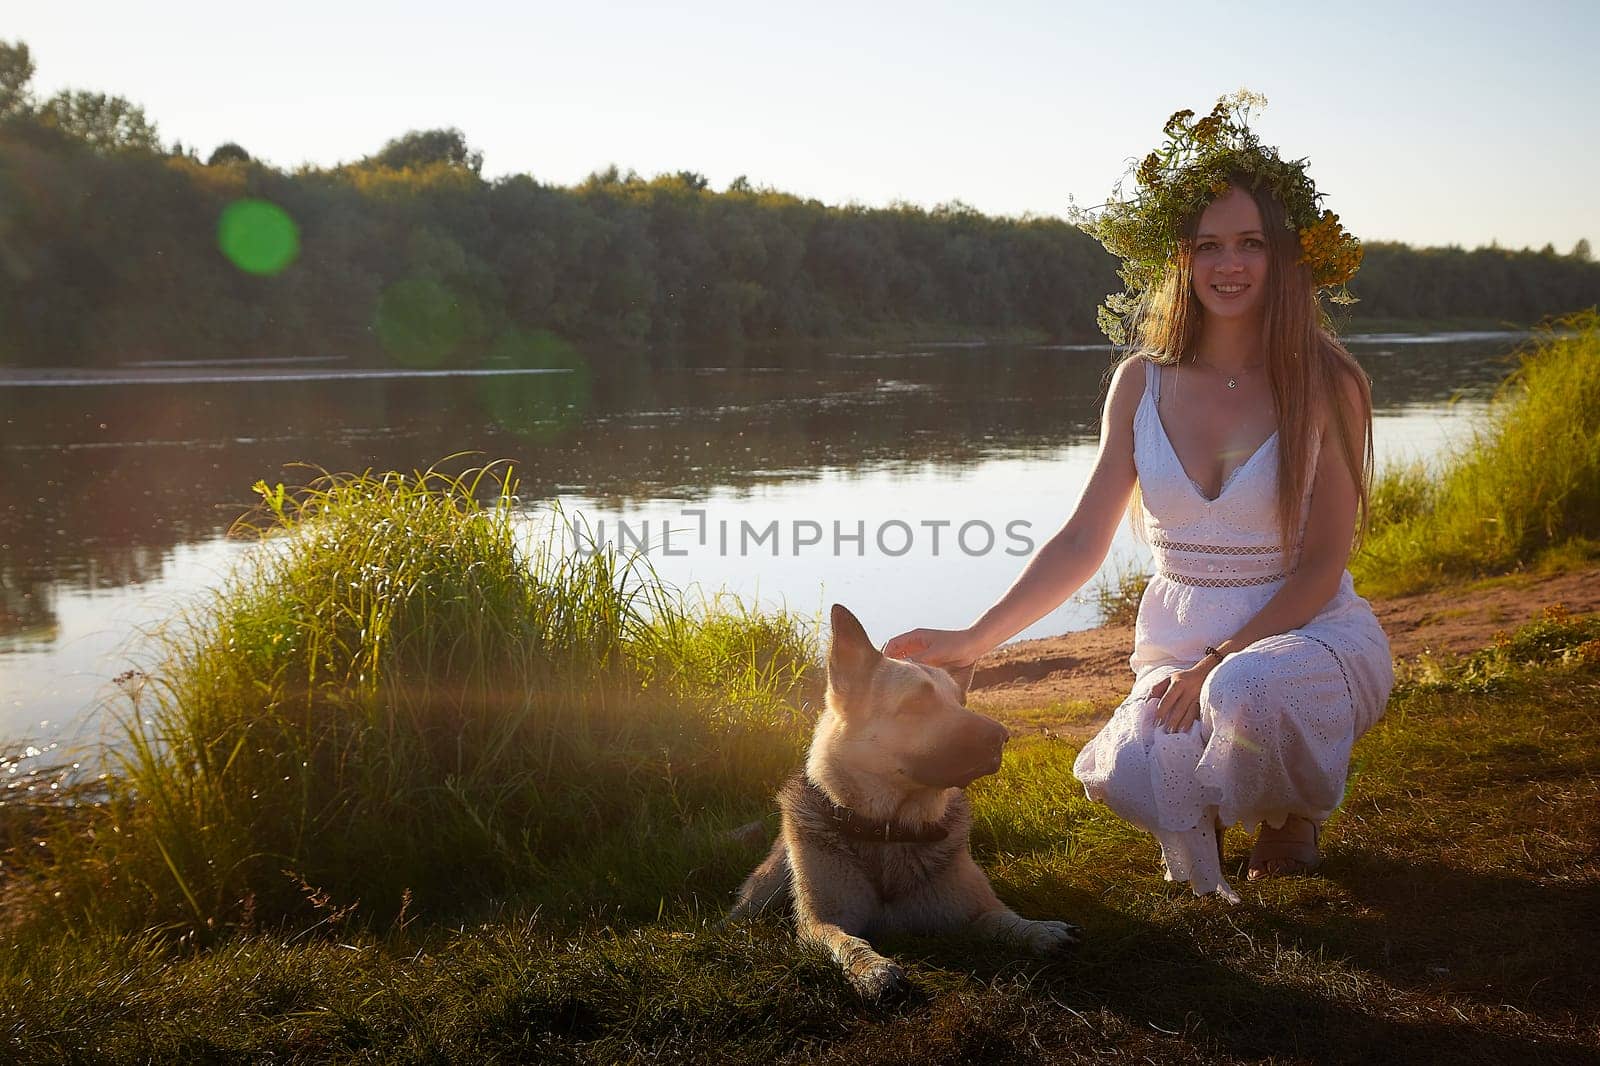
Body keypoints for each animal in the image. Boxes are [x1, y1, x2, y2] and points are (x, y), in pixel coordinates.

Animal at [729, 601, 1081, 998]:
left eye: (960, 702)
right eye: (916, 703)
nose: (1001, 737)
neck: (890, 829)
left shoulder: (973, 909)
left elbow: (1003, 918)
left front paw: (1038, 929)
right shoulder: (821, 923)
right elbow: (845, 942)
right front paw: (872, 968)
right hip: (763, 890)